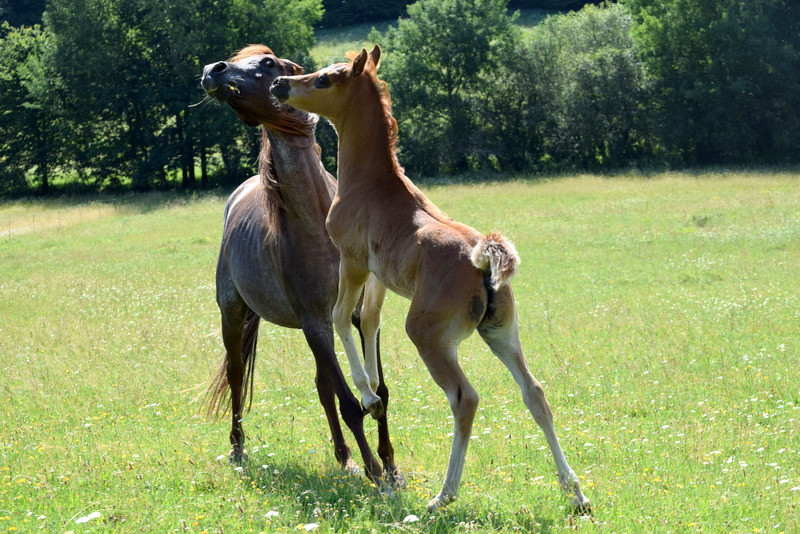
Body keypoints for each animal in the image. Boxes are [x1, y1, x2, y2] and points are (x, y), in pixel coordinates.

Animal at [199, 45, 399, 484]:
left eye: (267, 63)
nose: (212, 70)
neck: (321, 226)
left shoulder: (359, 316)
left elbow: (378, 392)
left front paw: (391, 465)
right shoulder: (315, 323)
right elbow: (350, 403)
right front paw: (376, 473)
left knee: (322, 386)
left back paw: (343, 457)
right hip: (234, 314)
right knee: (237, 376)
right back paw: (237, 448)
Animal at [269, 46, 591, 511]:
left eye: (325, 79)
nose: (280, 84)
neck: (371, 183)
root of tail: (483, 260)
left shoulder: (353, 261)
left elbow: (340, 317)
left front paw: (367, 393)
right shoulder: (379, 275)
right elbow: (368, 321)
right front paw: (374, 391)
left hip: (428, 335)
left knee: (465, 398)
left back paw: (444, 495)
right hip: (502, 332)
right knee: (535, 392)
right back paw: (575, 492)